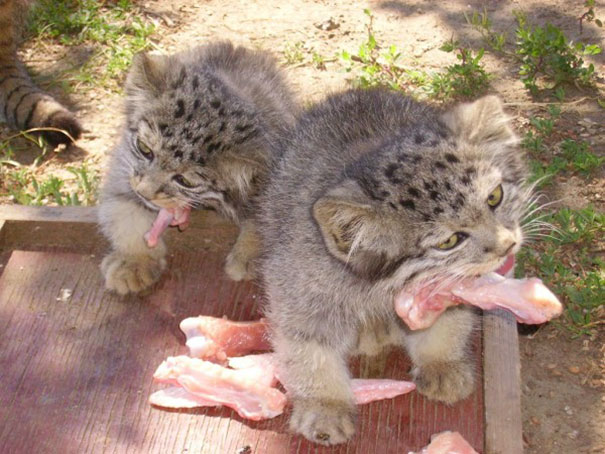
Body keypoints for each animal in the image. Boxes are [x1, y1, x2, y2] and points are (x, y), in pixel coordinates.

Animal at [98, 41, 298, 294]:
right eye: (145, 149)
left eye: (184, 181)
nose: (144, 193)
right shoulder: (124, 167)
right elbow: (125, 213)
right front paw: (134, 262)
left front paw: (249, 256)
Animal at [260, 88, 528, 444]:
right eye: (449, 241)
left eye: (495, 197)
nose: (506, 245)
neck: (380, 287)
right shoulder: (297, 285)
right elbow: (307, 348)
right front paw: (324, 403)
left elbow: (449, 321)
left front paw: (441, 362)